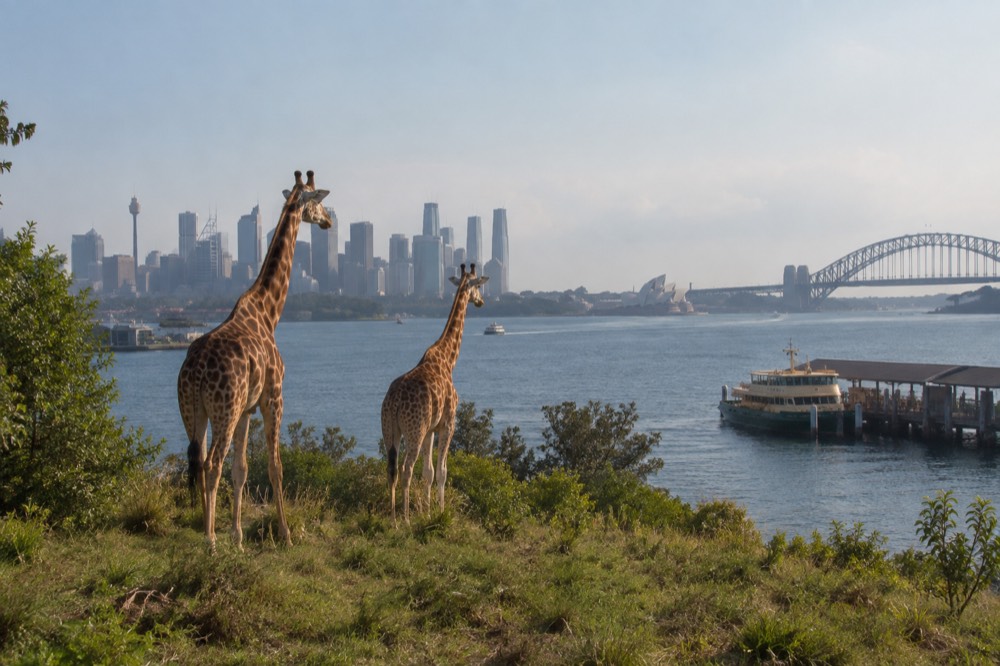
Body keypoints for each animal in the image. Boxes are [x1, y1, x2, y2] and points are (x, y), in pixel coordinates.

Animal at [177, 170, 332, 548]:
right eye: (318, 200)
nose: (329, 222)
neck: (268, 311)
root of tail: (194, 371)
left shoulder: (247, 409)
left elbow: (242, 468)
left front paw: (237, 534)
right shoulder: (273, 397)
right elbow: (275, 466)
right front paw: (286, 533)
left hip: (195, 412)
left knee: (198, 460)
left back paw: (206, 528)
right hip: (224, 410)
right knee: (212, 464)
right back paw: (210, 540)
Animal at [381, 263, 488, 525]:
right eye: (478, 287)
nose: (481, 302)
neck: (449, 359)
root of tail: (393, 402)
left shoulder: (431, 428)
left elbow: (428, 473)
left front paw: (427, 512)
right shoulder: (448, 423)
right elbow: (441, 472)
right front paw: (440, 512)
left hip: (390, 429)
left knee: (391, 469)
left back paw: (393, 519)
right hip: (414, 430)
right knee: (406, 469)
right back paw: (405, 519)